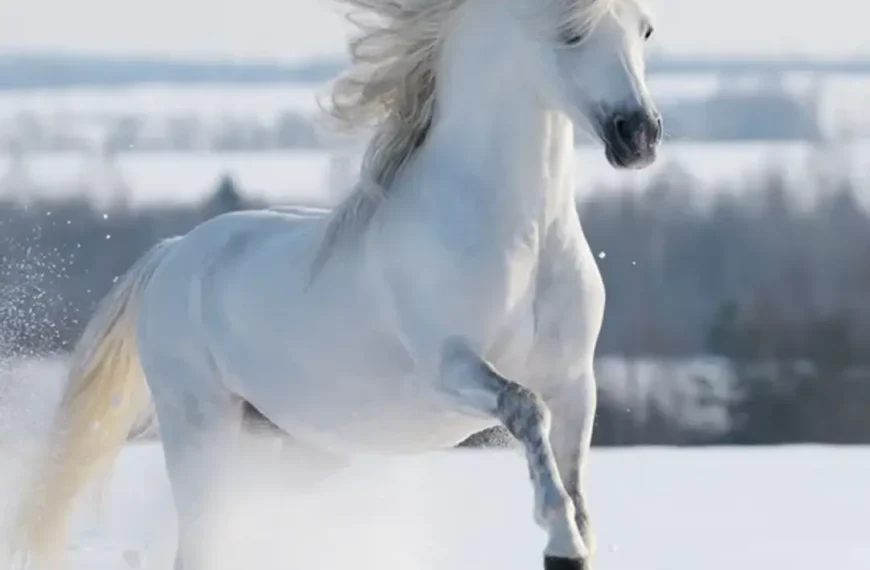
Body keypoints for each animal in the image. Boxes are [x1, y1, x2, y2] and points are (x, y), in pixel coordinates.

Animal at [14, 0, 662, 568]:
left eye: (646, 29)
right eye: (569, 33)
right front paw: (560, 540)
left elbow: (573, 474)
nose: (640, 135)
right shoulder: (448, 368)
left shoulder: (575, 381)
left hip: (292, 445)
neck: (524, 237)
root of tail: (172, 253)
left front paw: (577, 541)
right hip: (199, 425)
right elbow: (526, 410)